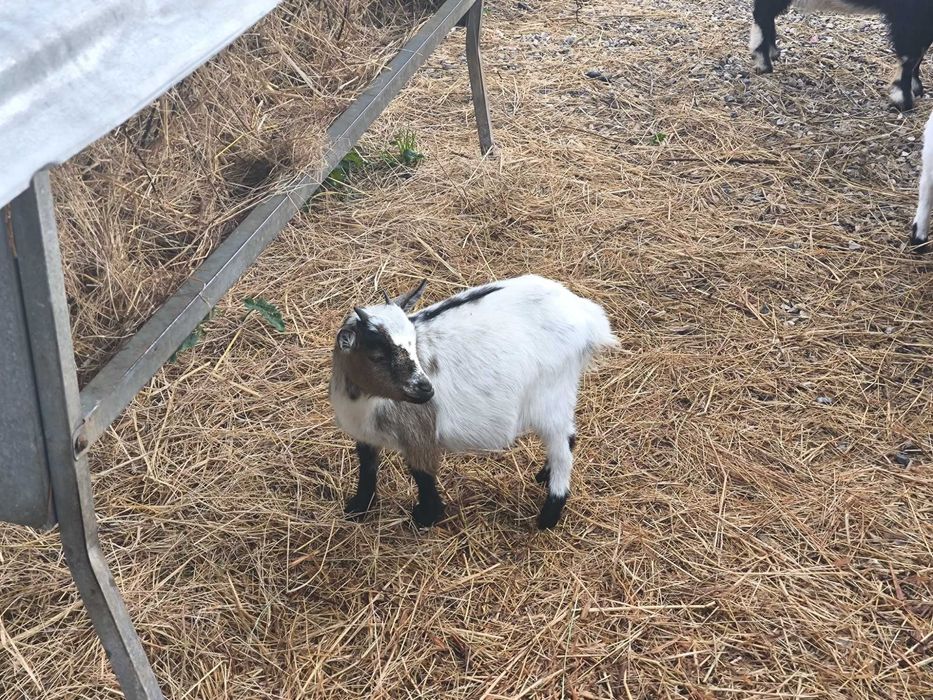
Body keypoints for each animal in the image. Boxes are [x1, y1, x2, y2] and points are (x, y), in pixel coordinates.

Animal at [328, 275, 617, 530]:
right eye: (376, 355)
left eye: (414, 344)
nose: (426, 389)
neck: (364, 402)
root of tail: (585, 315)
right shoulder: (364, 434)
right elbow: (367, 466)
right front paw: (358, 507)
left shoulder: (419, 432)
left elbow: (422, 474)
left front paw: (426, 517)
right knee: (569, 436)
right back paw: (543, 476)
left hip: (551, 396)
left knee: (563, 448)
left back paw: (549, 514)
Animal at [749, 0, 933, 111]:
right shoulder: (910, 12)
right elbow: (911, 53)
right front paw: (903, 100)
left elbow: (920, 51)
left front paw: (916, 89)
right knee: (762, 13)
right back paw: (763, 62)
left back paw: (772, 52)